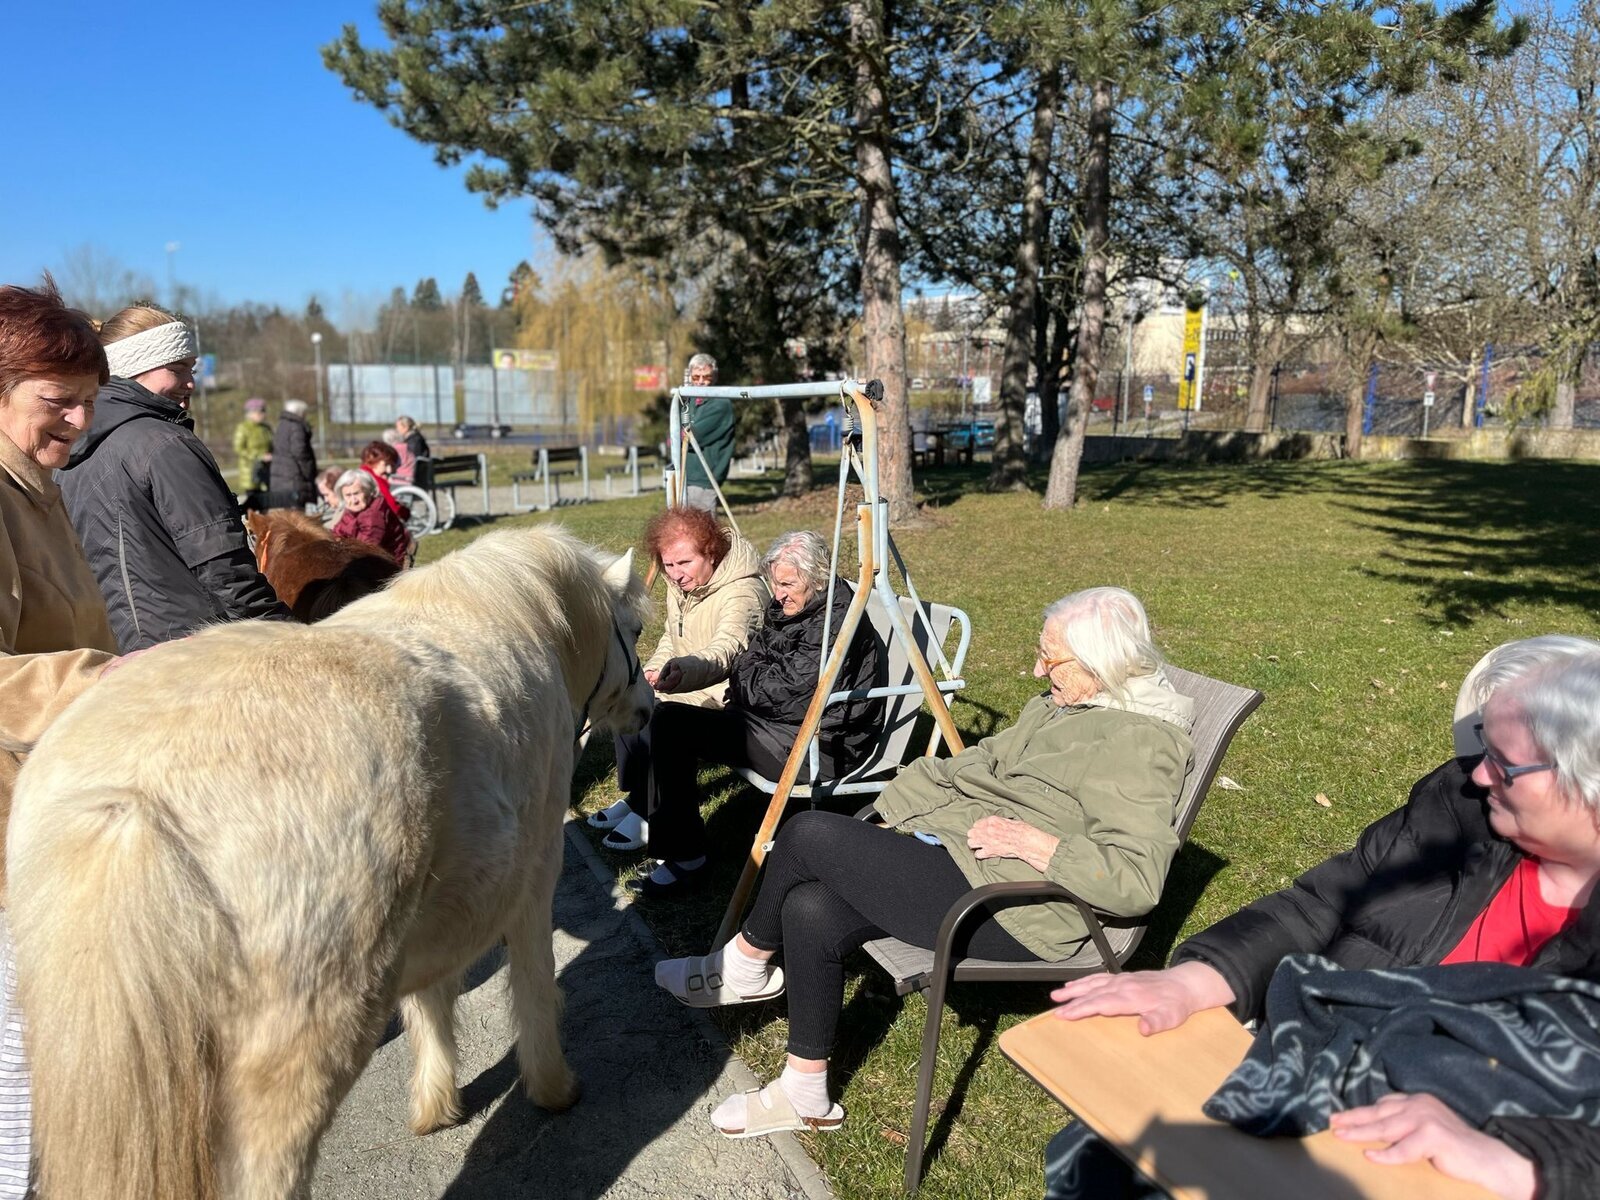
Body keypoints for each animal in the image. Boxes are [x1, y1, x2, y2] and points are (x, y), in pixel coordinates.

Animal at [7, 525, 654, 1200]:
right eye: (633, 629)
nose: (649, 709)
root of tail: (132, 799)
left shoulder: (437, 909)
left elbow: (431, 1000)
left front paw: (435, 1105)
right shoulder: (534, 873)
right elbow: (532, 985)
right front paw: (553, 1088)